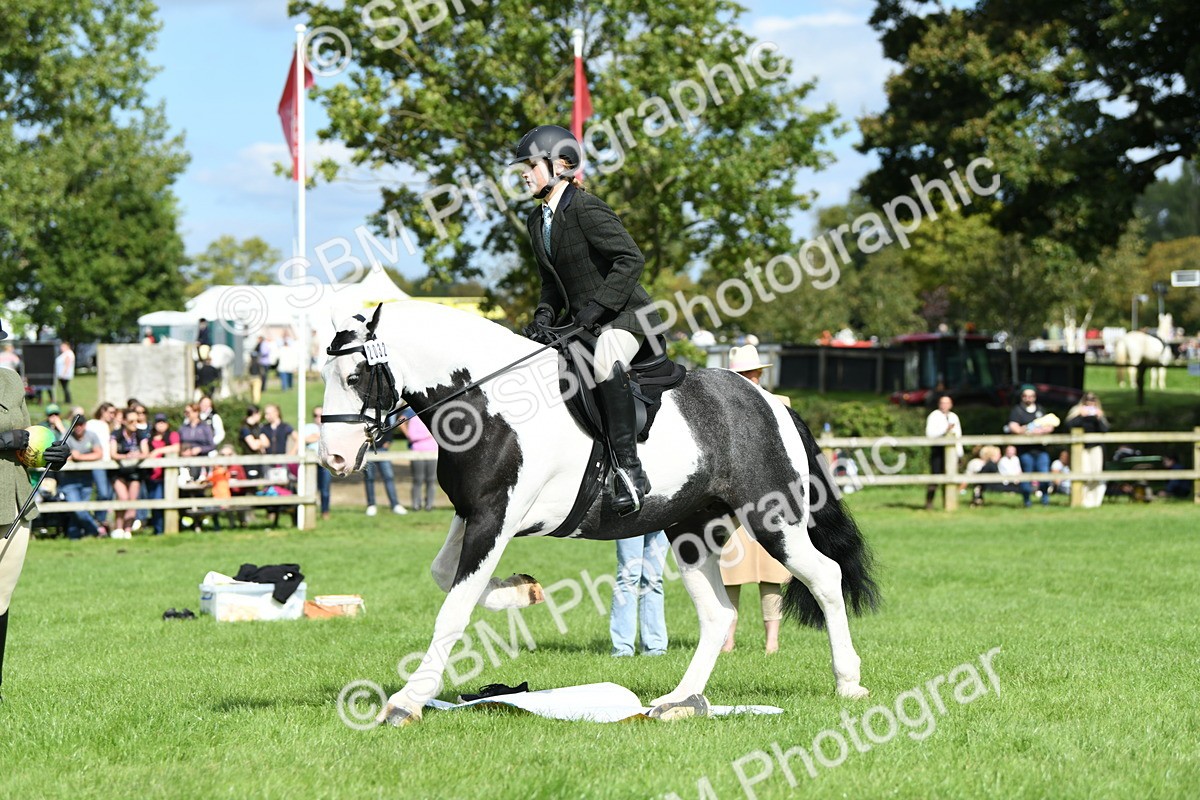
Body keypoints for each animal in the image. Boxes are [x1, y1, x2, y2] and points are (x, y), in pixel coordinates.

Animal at [318, 301, 879, 727]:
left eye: (354, 375)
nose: (335, 458)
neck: (487, 401)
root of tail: (769, 401)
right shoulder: (473, 513)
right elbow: (445, 576)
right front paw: (520, 591)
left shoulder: (496, 516)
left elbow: (454, 608)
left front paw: (406, 702)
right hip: (691, 531)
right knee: (719, 613)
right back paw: (679, 701)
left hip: (772, 519)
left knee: (825, 576)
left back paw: (848, 681)